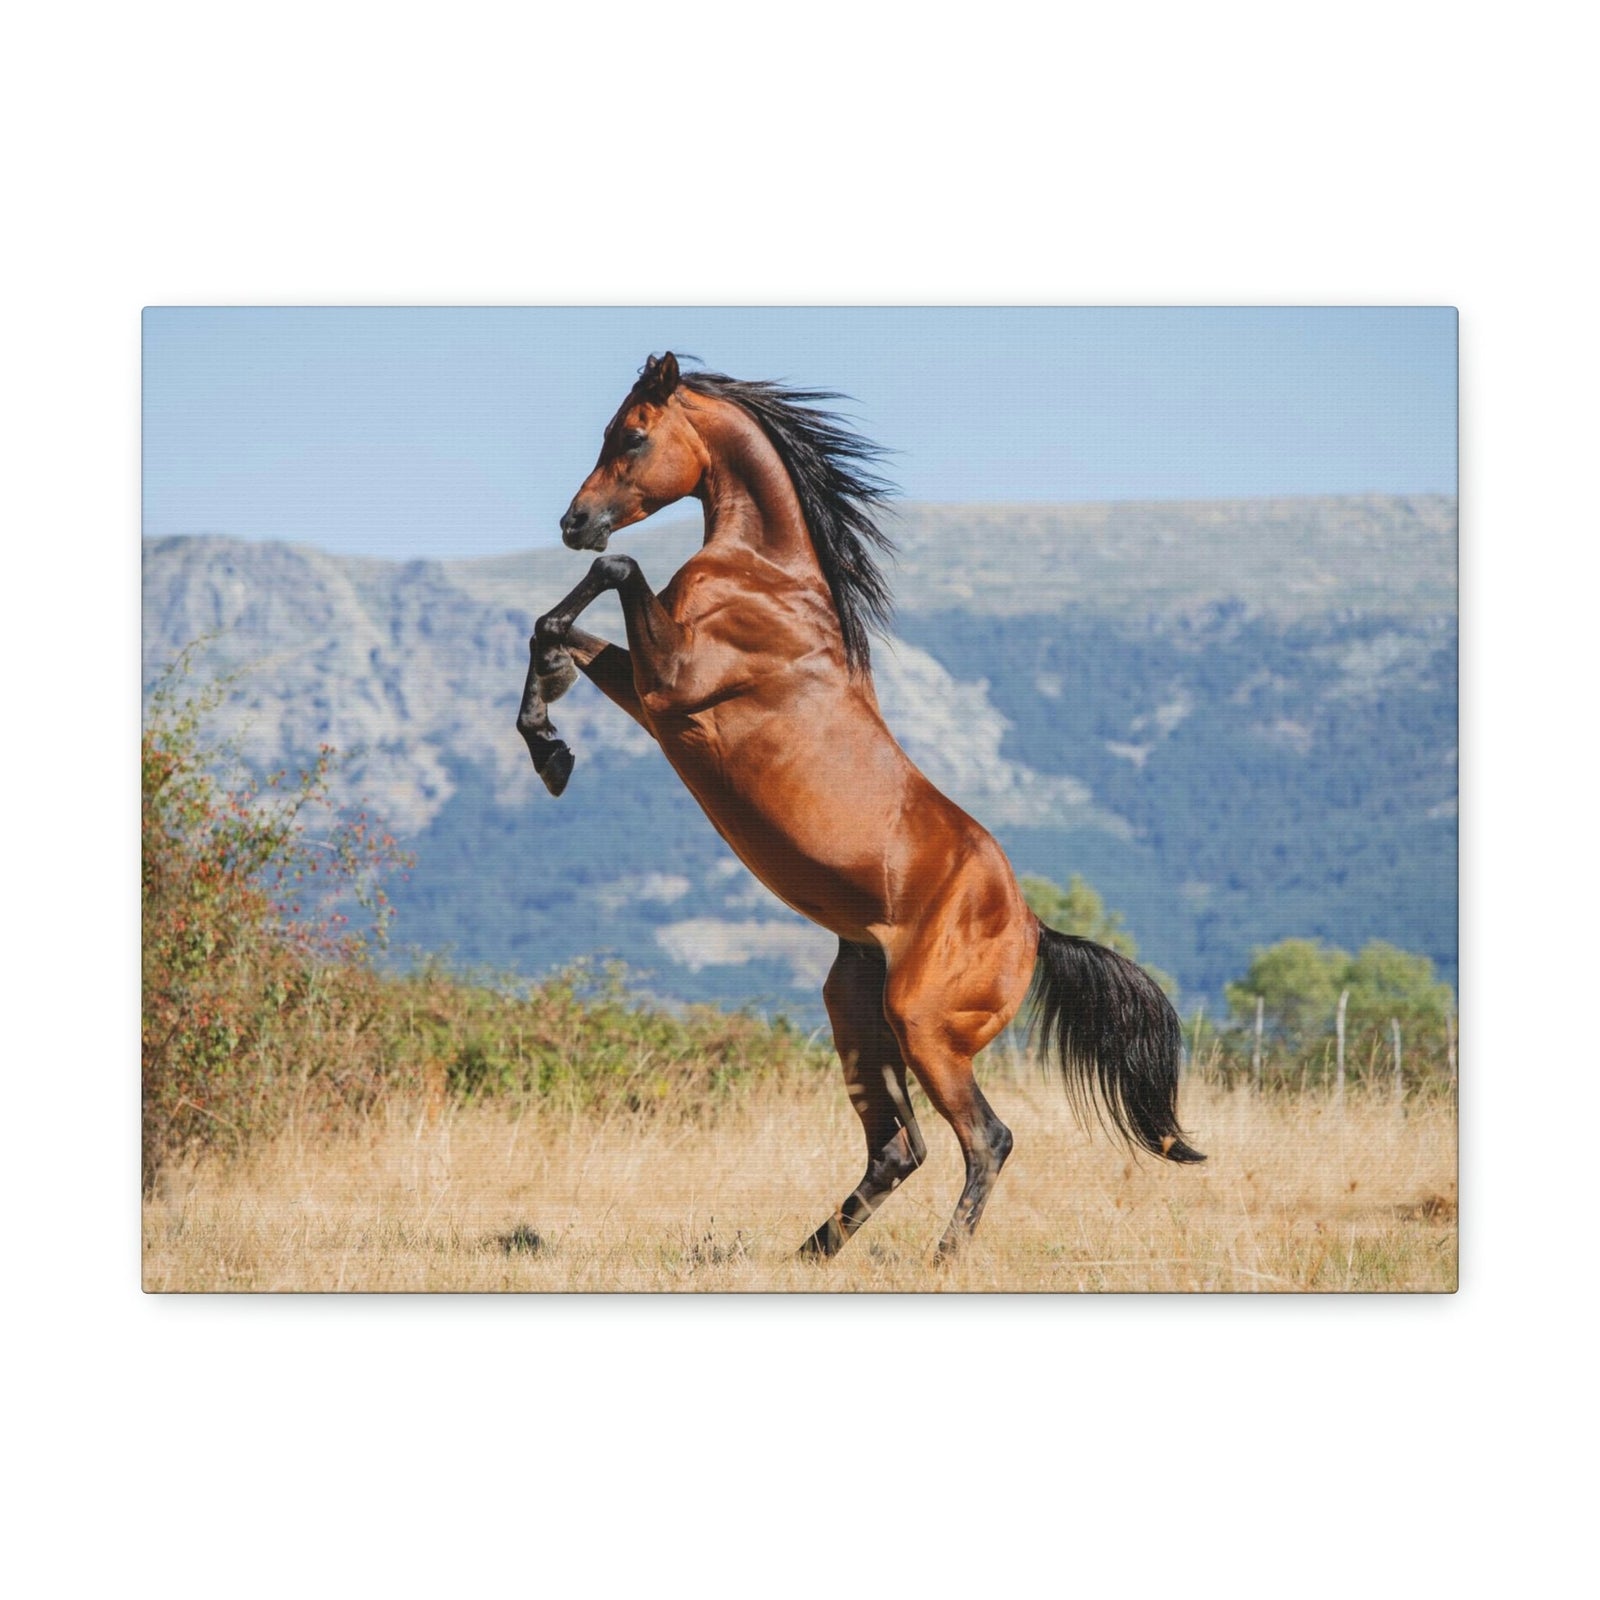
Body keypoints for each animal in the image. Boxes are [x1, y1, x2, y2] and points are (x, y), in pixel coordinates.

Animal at [515, 352, 1203, 1258]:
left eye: (632, 434)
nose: (574, 521)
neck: (767, 578)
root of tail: (1032, 929)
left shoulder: (677, 683)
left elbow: (614, 575)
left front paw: (550, 736)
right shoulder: (658, 698)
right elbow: (555, 628)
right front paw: (549, 744)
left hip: (923, 1026)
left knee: (985, 1138)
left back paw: (942, 1257)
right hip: (856, 1010)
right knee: (898, 1148)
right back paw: (810, 1252)